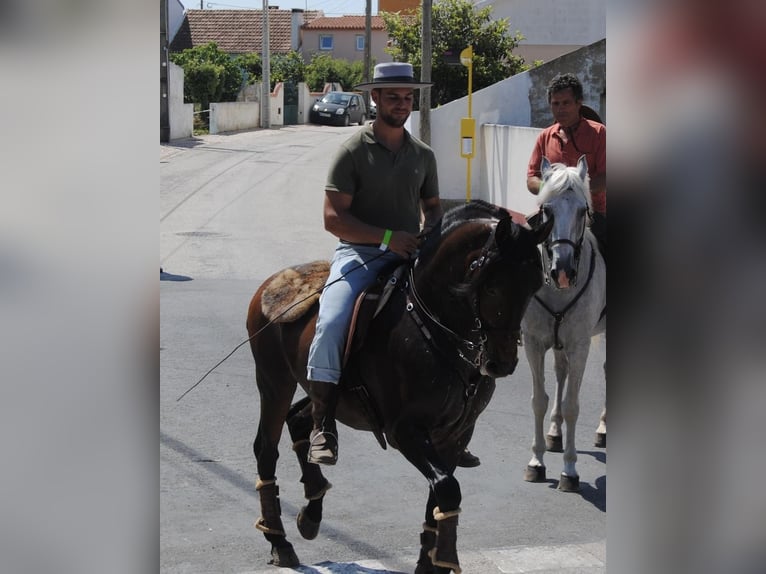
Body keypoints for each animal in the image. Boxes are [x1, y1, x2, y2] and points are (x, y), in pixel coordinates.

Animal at [246, 200, 552, 572]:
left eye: (535, 286)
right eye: (492, 286)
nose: (501, 363)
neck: (435, 327)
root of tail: (270, 283)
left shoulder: (456, 434)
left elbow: (437, 502)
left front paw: (430, 560)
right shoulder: (404, 431)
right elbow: (447, 488)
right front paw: (444, 557)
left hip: (326, 394)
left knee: (304, 419)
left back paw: (312, 508)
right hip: (274, 381)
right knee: (266, 447)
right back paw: (279, 539)